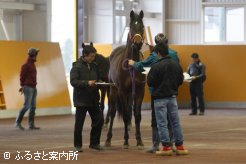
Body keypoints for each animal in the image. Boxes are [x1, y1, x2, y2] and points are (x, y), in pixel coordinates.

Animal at [105, 10, 146, 149]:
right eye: (132, 27)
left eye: (142, 27)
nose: (138, 43)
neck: (131, 65)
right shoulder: (122, 91)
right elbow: (126, 116)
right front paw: (126, 141)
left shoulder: (139, 92)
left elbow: (137, 116)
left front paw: (139, 141)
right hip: (113, 90)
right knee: (112, 112)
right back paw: (108, 139)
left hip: (129, 95)